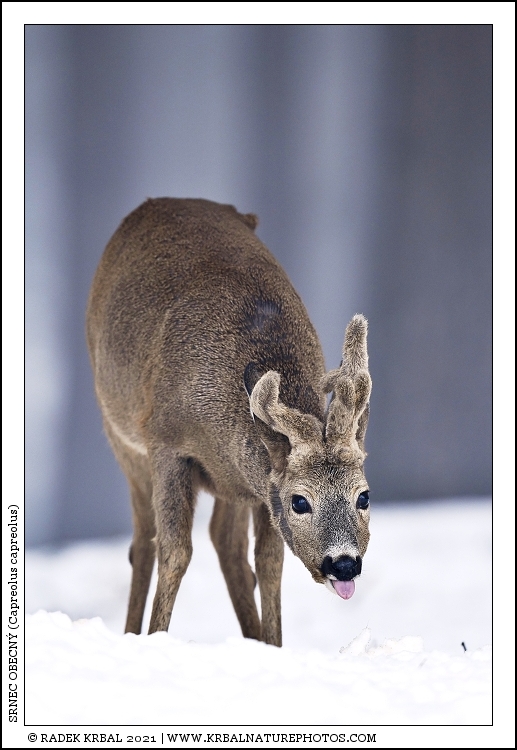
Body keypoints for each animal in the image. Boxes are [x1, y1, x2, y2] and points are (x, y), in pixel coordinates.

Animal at [86, 198, 372, 647]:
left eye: (364, 496)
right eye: (300, 501)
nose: (343, 563)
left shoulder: (260, 485)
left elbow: (269, 562)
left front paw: (273, 646)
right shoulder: (167, 442)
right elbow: (175, 552)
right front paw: (156, 638)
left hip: (230, 482)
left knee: (227, 545)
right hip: (118, 431)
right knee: (143, 542)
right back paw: (131, 633)